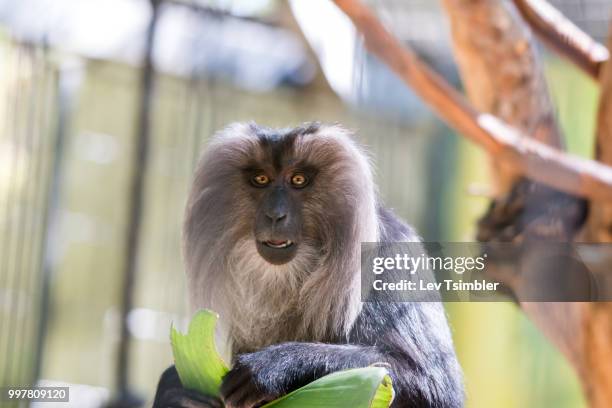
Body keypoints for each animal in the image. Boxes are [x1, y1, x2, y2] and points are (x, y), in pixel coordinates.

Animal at [153, 122, 464, 406]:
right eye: (261, 179)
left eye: (298, 180)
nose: (275, 215)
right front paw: (178, 393)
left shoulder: (392, 256)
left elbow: (433, 387)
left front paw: (274, 365)